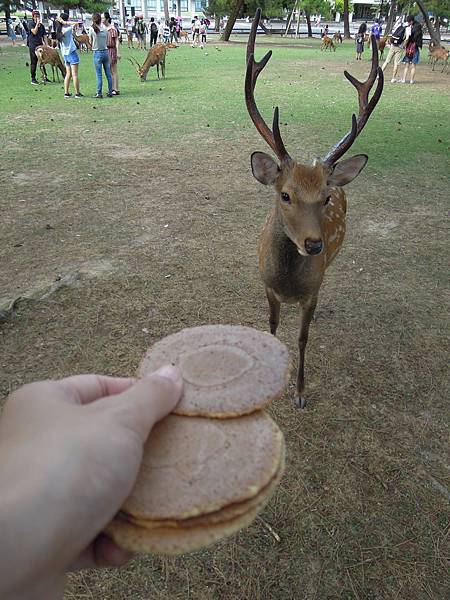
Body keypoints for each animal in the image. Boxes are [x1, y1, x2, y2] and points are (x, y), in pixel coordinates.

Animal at [244, 11, 384, 408]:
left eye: (325, 198)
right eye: (285, 195)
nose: (314, 245)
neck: (290, 286)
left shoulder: (309, 293)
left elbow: (303, 337)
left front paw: (301, 392)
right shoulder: (266, 286)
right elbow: (272, 328)